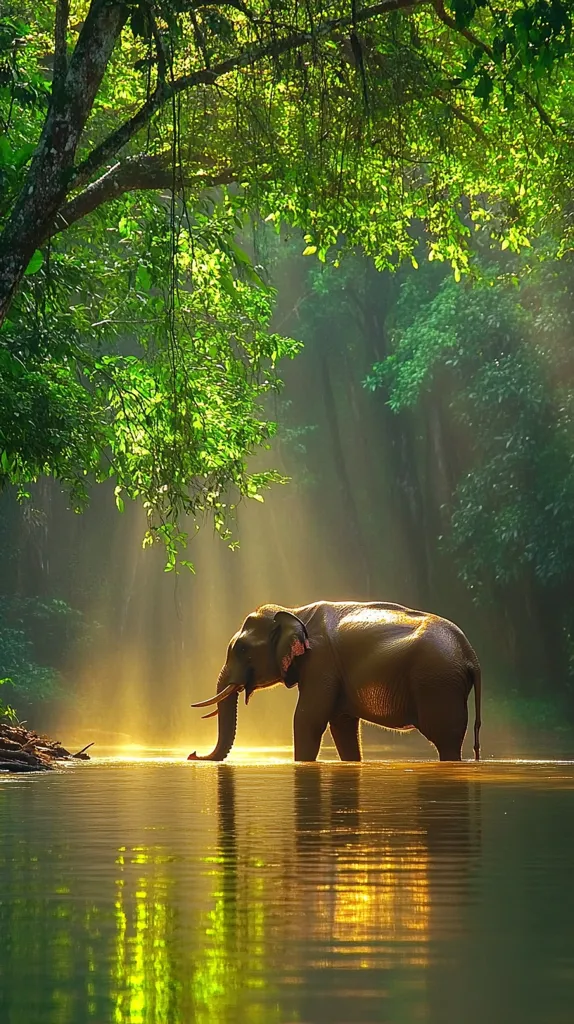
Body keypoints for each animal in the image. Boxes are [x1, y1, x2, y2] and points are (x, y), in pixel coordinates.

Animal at [188, 601, 482, 763]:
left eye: (242, 650)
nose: (192, 754)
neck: (296, 612)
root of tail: (471, 656)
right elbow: (342, 725)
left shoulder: (321, 665)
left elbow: (307, 719)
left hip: (437, 684)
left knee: (446, 738)